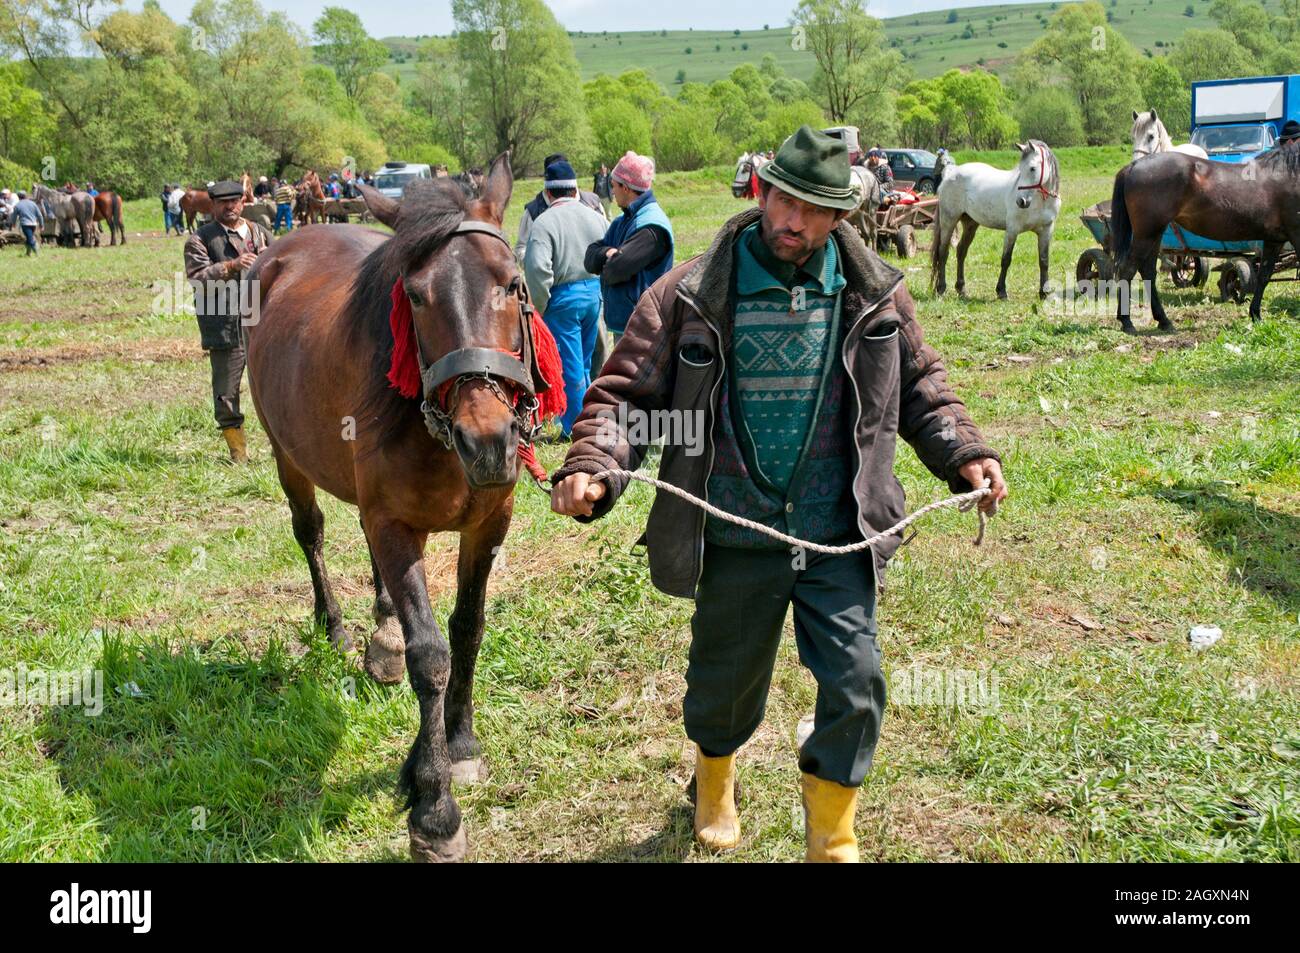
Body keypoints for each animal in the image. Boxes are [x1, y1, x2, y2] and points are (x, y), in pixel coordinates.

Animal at [244, 152, 543, 858]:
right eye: (415, 296)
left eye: (513, 283)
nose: (488, 438)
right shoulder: (396, 524)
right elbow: (428, 654)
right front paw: (434, 805)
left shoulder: (488, 523)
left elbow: (467, 628)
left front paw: (455, 743)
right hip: (287, 455)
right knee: (312, 534)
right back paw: (337, 626)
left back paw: (379, 633)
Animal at [930, 138, 1060, 297]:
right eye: (1020, 169)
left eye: (1032, 168)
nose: (1020, 201)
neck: (1039, 202)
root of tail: (950, 174)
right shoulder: (1012, 230)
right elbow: (1006, 259)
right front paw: (1001, 291)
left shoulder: (1046, 231)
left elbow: (1044, 261)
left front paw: (1044, 293)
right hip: (949, 221)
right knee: (943, 252)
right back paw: (941, 288)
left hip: (970, 224)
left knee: (961, 251)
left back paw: (962, 289)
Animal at [1107, 144, 1300, 330]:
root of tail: (1133, 166)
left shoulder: (1274, 240)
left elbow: (1264, 277)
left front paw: (1256, 315)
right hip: (1147, 234)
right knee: (1128, 270)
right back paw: (1127, 321)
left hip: (1154, 235)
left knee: (1147, 272)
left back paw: (1164, 321)